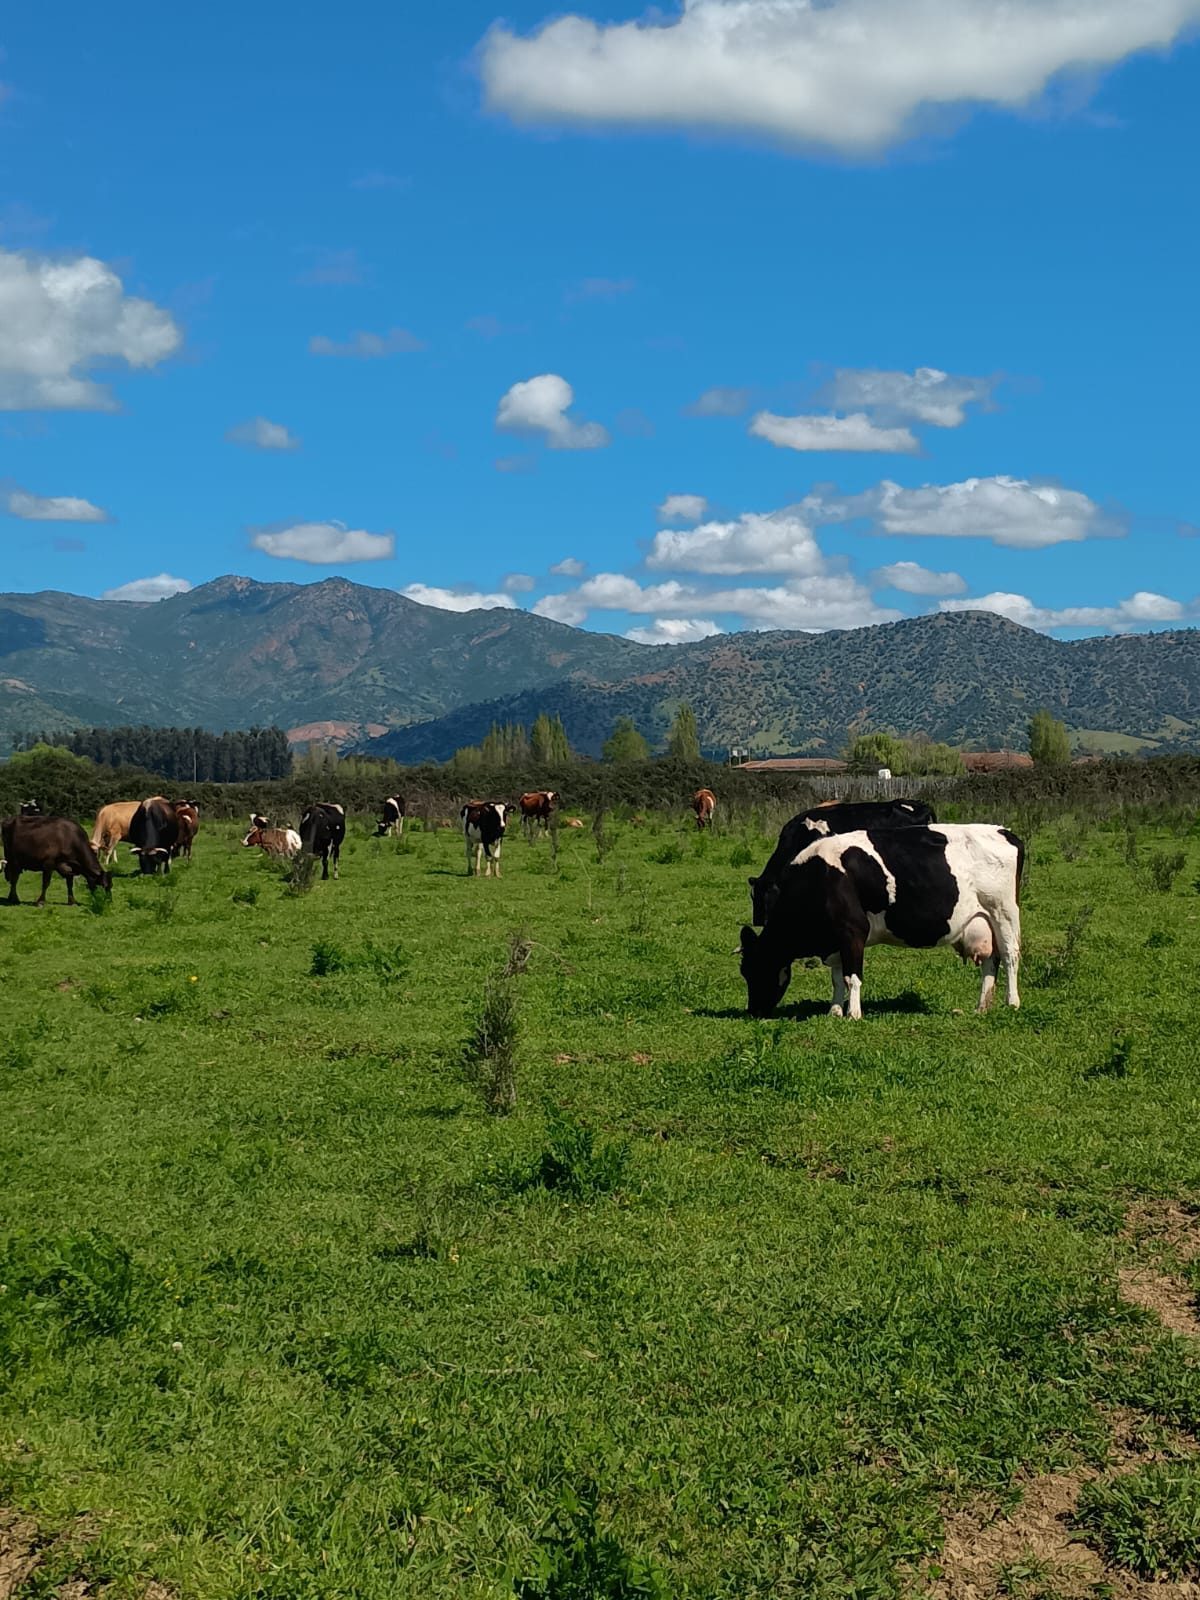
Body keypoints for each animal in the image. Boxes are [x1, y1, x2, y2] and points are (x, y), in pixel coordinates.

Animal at [739, 824, 1023, 1021]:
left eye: (755, 968)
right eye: (744, 972)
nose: (753, 1011)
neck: (819, 876)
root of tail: (1005, 831)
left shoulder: (853, 929)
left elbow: (852, 977)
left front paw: (853, 1014)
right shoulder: (836, 939)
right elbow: (837, 977)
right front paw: (834, 1011)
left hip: (1004, 912)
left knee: (1010, 956)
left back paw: (1012, 1002)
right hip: (985, 921)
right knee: (990, 961)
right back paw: (981, 1007)